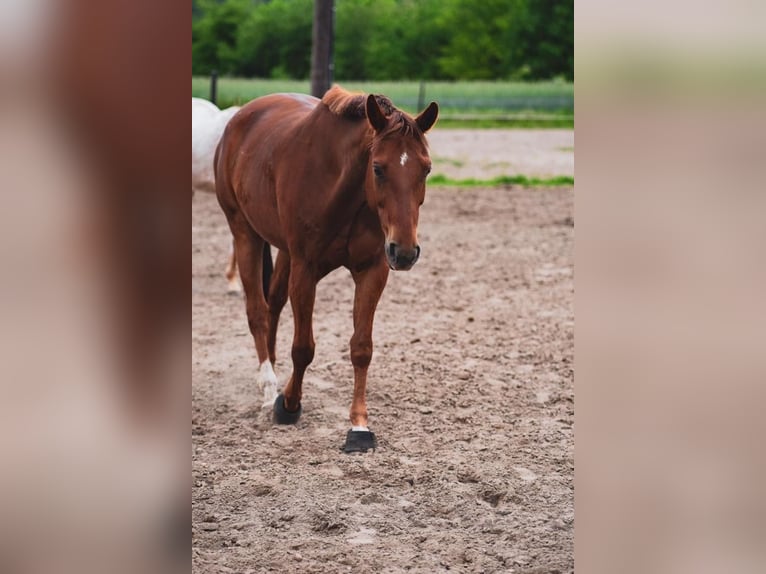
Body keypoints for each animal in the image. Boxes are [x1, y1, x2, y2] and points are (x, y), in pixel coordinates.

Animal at [216, 86, 438, 454]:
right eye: (378, 168)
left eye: (426, 169)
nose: (405, 252)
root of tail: (242, 115)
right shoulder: (306, 270)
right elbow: (303, 347)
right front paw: (288, 405)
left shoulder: (373, 270)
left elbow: (362, 347)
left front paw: (359, 426)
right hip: (244, 232)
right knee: (257, 311)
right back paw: (267, 385)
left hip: (283, 250)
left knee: (273, 302)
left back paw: (272, 368)